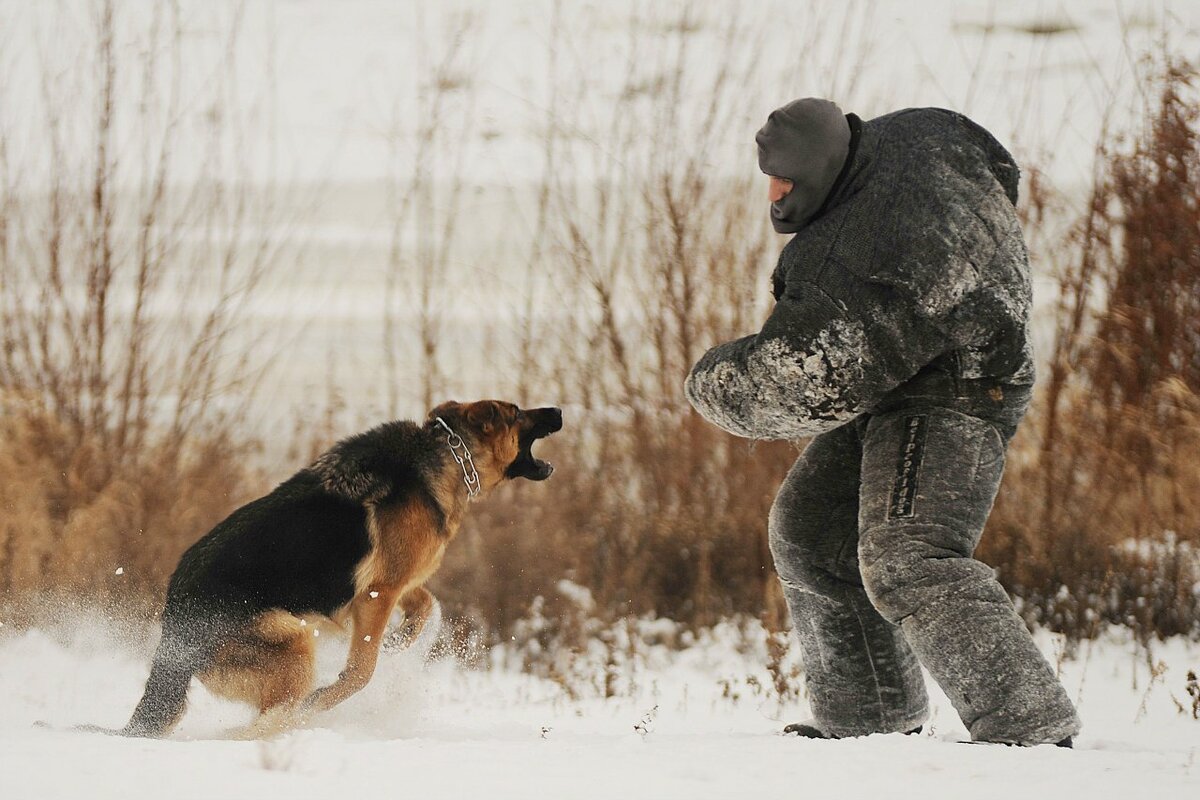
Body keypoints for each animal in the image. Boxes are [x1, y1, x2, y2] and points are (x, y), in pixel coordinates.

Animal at [112, 400, 561, 738]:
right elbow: (362, 671)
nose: (558, 410)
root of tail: (171, 624)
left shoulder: (388, 585)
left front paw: (400, 639)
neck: (443, 458)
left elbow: (427, 605)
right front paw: (331, 694)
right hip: (293, 642)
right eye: (516, 412)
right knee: (268, 718)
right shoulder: (378, 593)